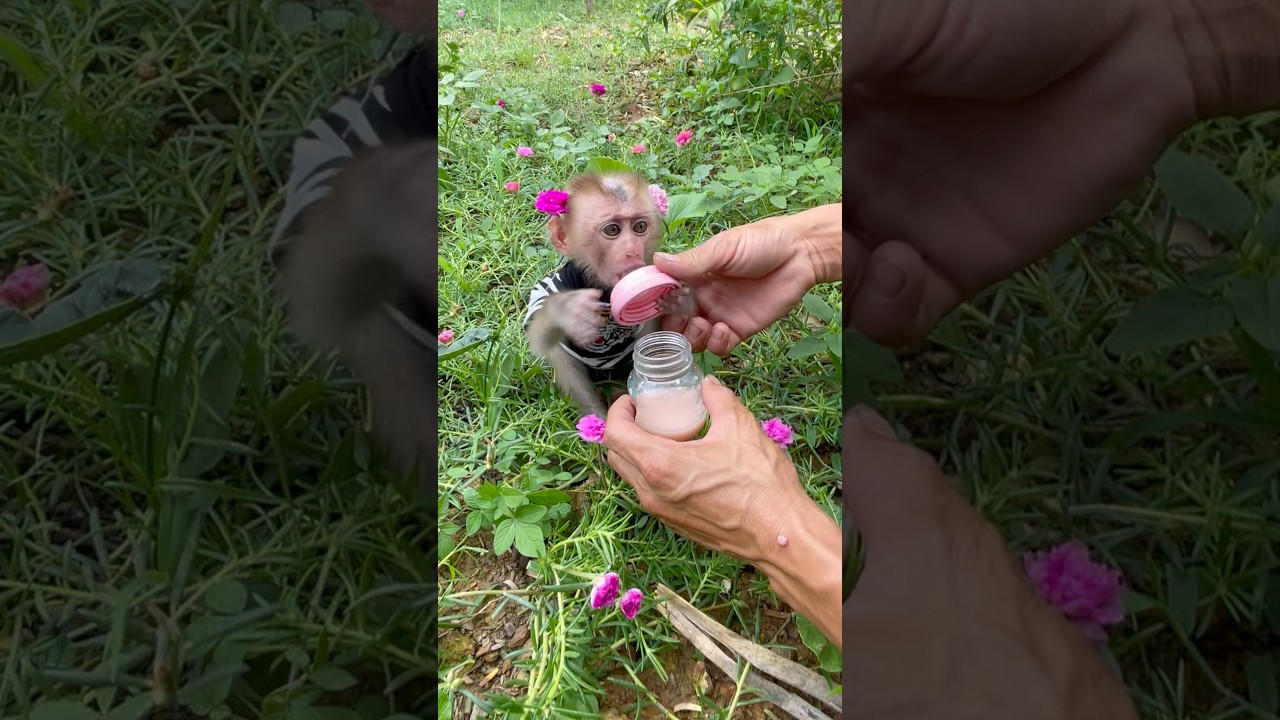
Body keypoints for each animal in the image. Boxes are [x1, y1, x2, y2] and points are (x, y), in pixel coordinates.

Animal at [524, 171, 696, 419]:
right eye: (612, 230)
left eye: (640, 227)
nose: (632, 251)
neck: (604, 288)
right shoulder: (556, 283)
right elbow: (540, 339)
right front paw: (567, 310)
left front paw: (681, 301)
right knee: (560, 353)